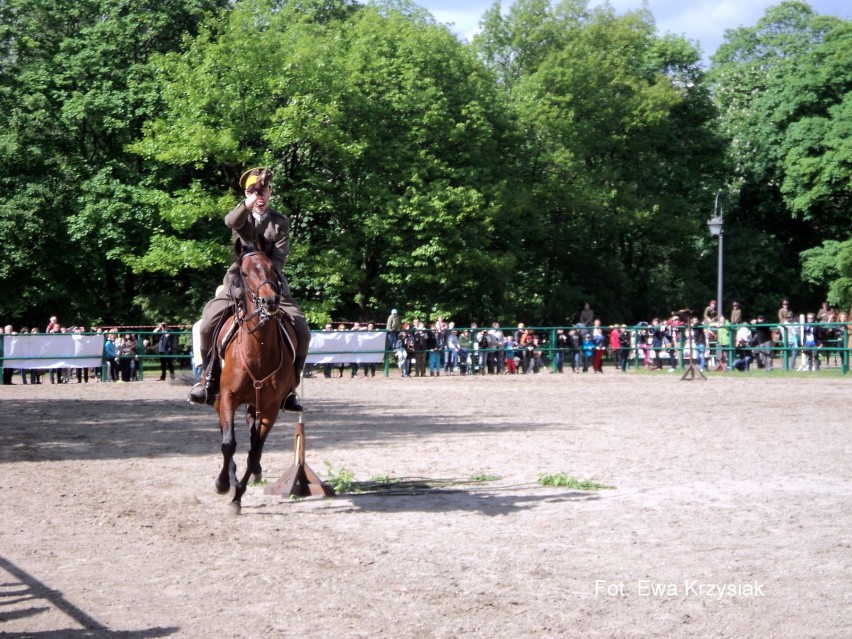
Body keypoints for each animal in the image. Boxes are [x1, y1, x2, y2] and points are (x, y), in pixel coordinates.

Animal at [215, 248, 298, 512]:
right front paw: (223, 484)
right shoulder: (228, 398)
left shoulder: (271, 408)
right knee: (225, 432)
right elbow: (229, 444)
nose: (269, 301)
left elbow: (254, 452)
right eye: (243, 272)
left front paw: (237, 497)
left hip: (256, 404)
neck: (258, 351)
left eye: (273, 269)